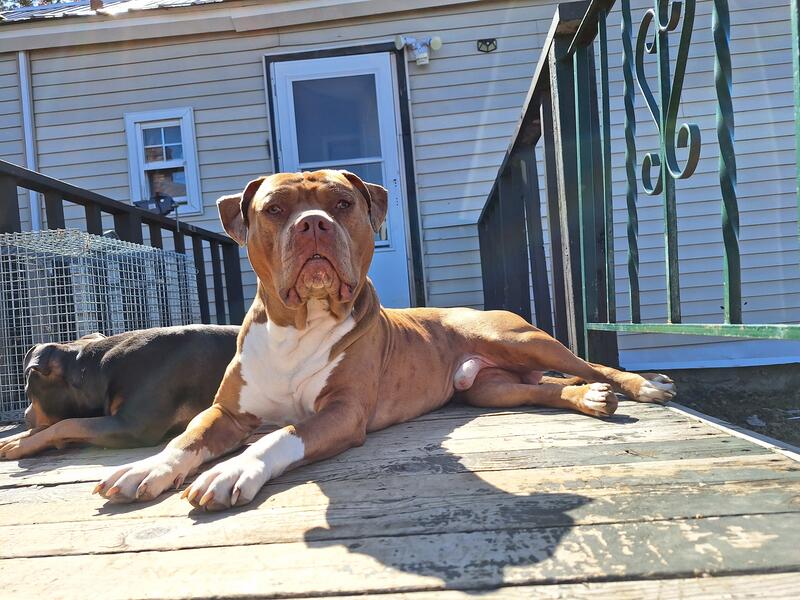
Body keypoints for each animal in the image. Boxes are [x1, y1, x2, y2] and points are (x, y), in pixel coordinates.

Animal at [0, 325, 238, 460]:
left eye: (28, 393)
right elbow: (51, 427)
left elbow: (65, 425)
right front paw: (13, 440)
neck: (95, 373)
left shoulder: (131, 426)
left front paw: (19, 445)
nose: (25, 415)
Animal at [94, 170, 676, 510]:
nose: (312, 224)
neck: (298, 327)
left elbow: (279, 437)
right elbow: (187, 438)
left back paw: (641, 385)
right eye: (275, 209)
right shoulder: (227, 412)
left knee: (588, 364)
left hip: (519, 338)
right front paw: (147, 467)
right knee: (542, 389)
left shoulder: (342, 412)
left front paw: (234, 469)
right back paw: (589, 399)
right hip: (488, 388)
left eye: (342, 203)